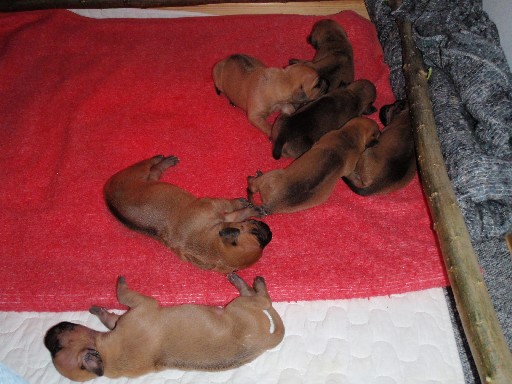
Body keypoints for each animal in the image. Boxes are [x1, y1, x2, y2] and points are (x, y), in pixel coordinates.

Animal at [44, 272, 284, 380]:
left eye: (55, 347)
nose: (47, 336)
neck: (105, 356)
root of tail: (265, 341)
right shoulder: (142, 307)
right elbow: (123, 295)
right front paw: (120, 284)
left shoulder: (126, 317)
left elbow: (112, 315)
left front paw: (99, 310)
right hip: (239, 307)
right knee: (264, 301)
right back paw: (249, 283)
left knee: (264, 301)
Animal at [104, 154, 272, 274]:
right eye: (254, 231)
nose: (269, 231)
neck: (212, 245)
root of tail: (106, 192)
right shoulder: (213, 203)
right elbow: (231, 205)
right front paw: (247, 206)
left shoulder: (224, 219)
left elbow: (236, 215)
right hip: (136, 173)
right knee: (146, 164)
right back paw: (159, 158)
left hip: (151, 180)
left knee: (155, 171)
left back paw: (165, 162)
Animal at [248, 116, 380, 216]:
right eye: (378, 133)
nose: (379, 141)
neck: (348, 137)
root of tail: (271, 204)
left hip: (272, 174)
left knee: (251, 185)